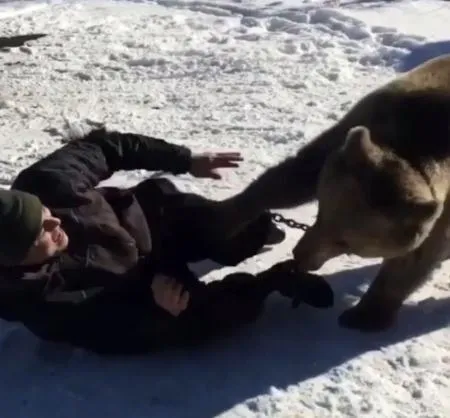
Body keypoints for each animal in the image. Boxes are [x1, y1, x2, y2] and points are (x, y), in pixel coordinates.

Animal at [213, 53, 450, 334]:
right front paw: (222, 219)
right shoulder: (367, 124)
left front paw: (364, 315)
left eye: (345, 242)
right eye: (320, 212)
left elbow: (417, 256)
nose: (300, 254)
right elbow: (295, 175)